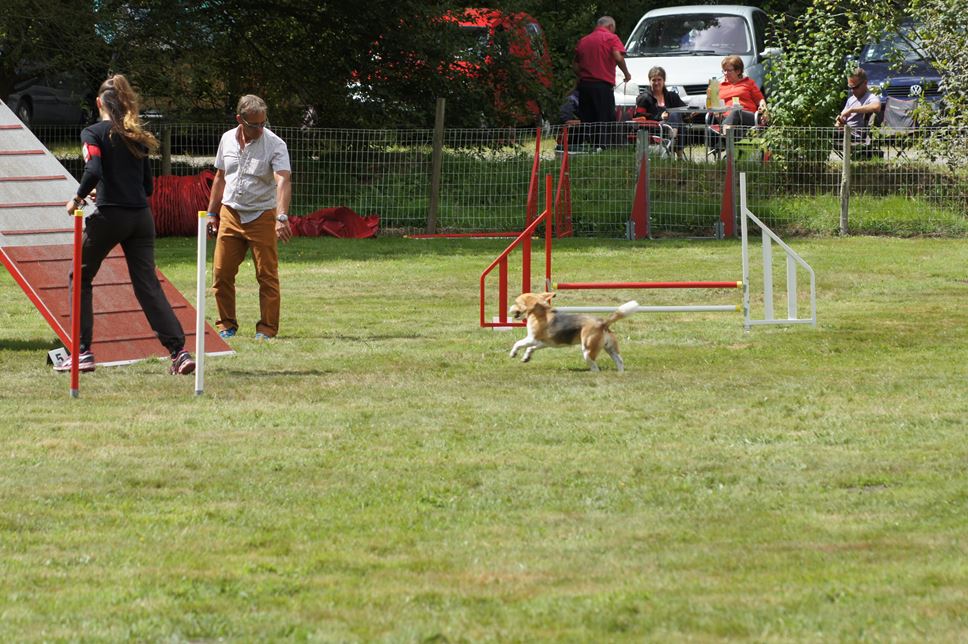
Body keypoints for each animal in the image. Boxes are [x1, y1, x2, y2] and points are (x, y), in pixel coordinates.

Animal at [510, 292, 640, 372]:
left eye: (516, 302)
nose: (509, 308)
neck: (541, 312)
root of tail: (603, 322)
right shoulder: (543, 342)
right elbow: (530, 348)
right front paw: (526, 357)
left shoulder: (532, 338)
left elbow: (517, 343)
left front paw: (513, 353)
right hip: (610, 349)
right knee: (620, 361)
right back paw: (620, 373)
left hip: (588, 351)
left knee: (595, 368)